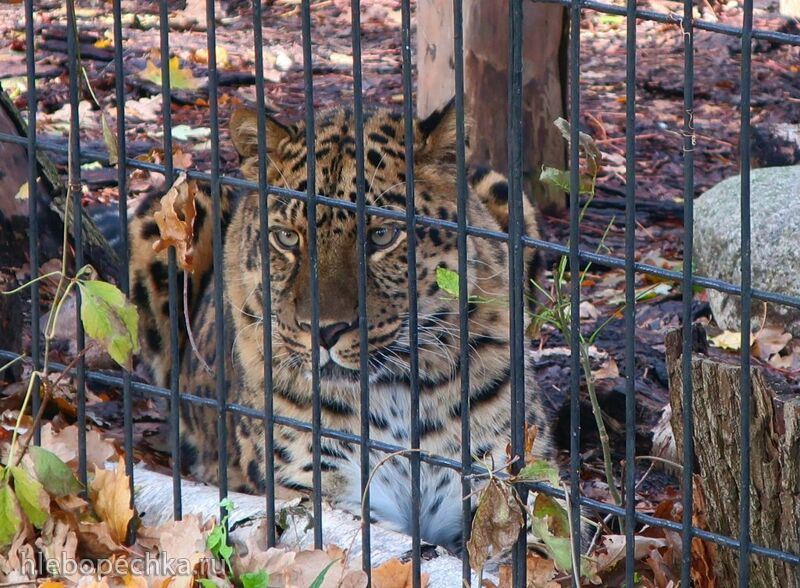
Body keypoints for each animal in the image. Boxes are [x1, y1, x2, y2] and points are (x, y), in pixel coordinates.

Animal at [130, 99, 556, 548]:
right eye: (287, 238)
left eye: (382, 235)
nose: (324, 330)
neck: (397, 394)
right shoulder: (308, 491)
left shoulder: (516, 485)